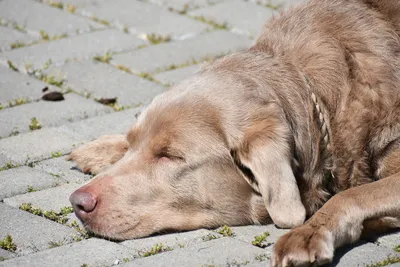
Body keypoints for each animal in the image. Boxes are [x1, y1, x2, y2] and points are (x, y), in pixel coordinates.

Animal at [68, 1, 400, 266]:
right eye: (133, 142)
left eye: (170, 157)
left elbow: (351, 195)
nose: (78, 202)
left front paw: (307, 233)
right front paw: (102, 148)